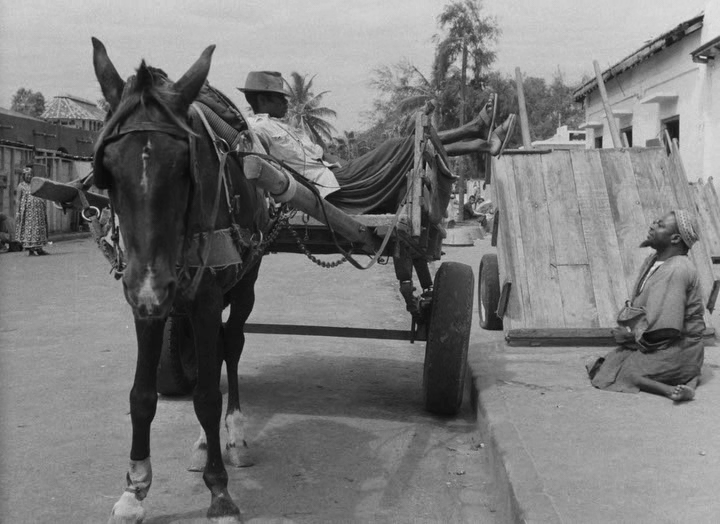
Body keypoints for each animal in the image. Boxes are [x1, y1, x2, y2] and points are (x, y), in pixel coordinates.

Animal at [93, 37, 268, 524]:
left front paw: (220, 492)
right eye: (107, 168)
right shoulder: (146, 299)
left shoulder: (203, 296)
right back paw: (206, 442)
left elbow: (207, 396)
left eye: (184, 167)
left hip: (243, 285)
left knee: (232, 344)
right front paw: (134, 489)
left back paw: (233, 434)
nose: (152, 288)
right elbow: (141, 396)